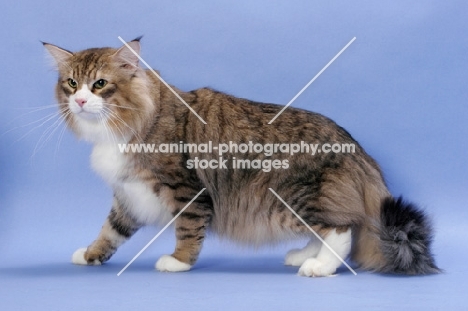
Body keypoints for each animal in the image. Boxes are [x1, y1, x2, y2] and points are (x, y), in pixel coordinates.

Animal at [43, 37, 438, 280]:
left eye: (100, 84)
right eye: (71, 83)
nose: (80, 101)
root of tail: (356, 147)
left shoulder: (186, 191)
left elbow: (188, 232)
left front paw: (179, 262)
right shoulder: (128, 196)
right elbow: (110, 231)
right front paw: (90, 254)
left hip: (293, 198)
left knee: (342, 230)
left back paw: (319, 268)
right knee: (326, 230)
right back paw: (304, 255)